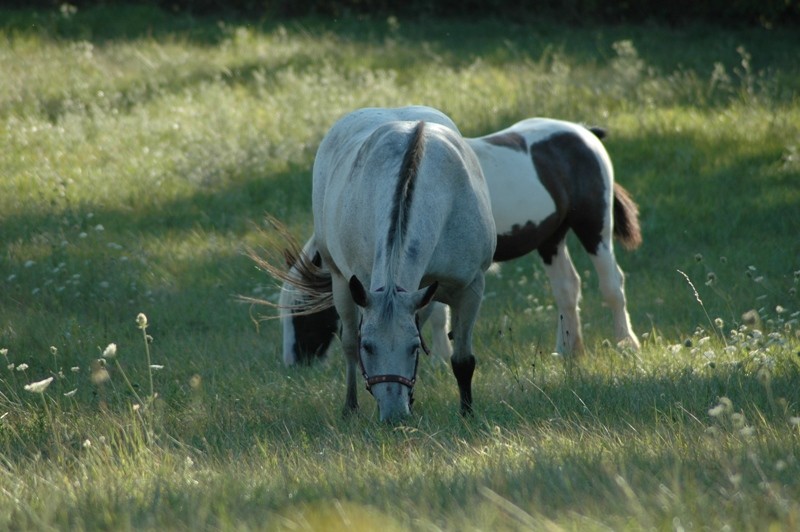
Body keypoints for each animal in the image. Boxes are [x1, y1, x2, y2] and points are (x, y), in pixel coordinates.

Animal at [278, 116, 640, 366]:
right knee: (567, 288)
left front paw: (439, 358)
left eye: (301, 311)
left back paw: (626, 344)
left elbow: (439, 315)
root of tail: (583, 132)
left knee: (613, 284)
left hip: (594, 228)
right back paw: (567, 351)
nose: (295, 363)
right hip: (551, 239)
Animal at [290, 106, 496, 422]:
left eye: (413, 347)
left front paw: (467, 413)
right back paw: (350, 407)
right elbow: (353, 345)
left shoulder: (470, 287)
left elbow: (462, 360)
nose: (394, 416)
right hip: (340, 281)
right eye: (368, 346)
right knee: (347, 345)